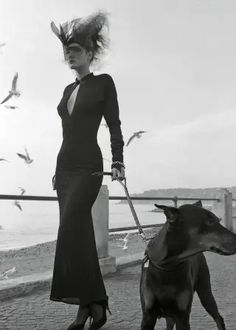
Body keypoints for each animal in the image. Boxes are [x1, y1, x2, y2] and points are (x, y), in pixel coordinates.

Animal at [139, 201, 236, 330]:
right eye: (210, 221)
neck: (168, 266)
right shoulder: (148, 315)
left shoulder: (182, 315)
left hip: (205, 292)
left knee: (218, 317)